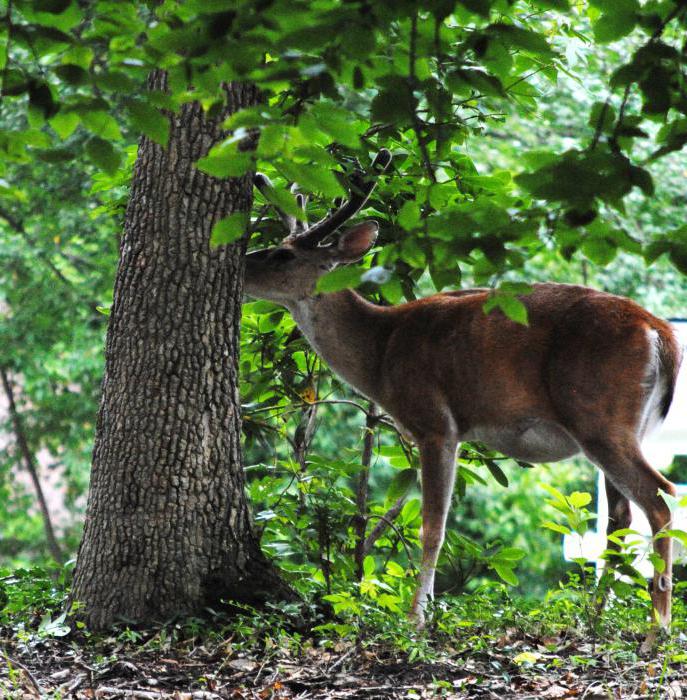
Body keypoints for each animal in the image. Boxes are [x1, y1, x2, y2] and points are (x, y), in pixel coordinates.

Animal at [242, 150, 684, 648]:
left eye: (283, 254)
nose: (241, 266)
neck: (380, 351)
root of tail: (662, 333)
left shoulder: (435, 422)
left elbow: (432, 527)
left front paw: (417, 619)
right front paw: (427, 613)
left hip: (600, 417)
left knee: (660, 499)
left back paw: (658, 629)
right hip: (622, 425)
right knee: (621, 515)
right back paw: (596, 616)